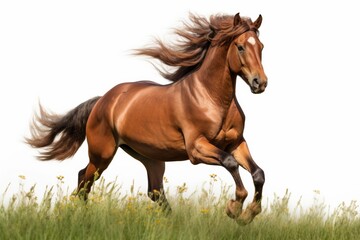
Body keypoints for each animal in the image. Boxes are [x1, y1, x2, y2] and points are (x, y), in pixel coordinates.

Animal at [25, 12, 268, 224]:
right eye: (240, 47)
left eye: (261, 47)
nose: (260, 83)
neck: (212, 98)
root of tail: (103, 100)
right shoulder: (196, 148)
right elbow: (230, 163)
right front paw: (234, 208)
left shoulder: (236, 143)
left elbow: (258, 173)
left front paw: (248, 214)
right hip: (102, 155)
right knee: (84, 179)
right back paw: (78, 216)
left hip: (151, 157)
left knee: (154, 192)